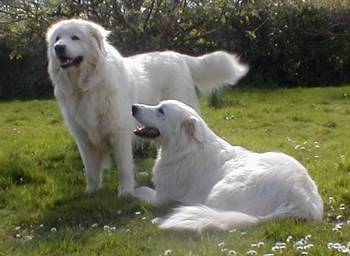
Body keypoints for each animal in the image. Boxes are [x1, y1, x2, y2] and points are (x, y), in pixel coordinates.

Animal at [46, 19, 249, 196]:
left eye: (75, 37)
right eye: (57, 38)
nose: (58, 48)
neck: (86, 88)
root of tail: (178, 56)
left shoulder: (119, 132)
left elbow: (124, 168)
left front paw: (125, 192)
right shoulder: (83, 137)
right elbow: (91, 170)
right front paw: (91, 192)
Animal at [133, 100, 324, 232]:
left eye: (161, 110)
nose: (133, 107)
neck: (185, 148)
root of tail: (303, 200)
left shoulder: (161, 197)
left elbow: (140, 190)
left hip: (219, 192)